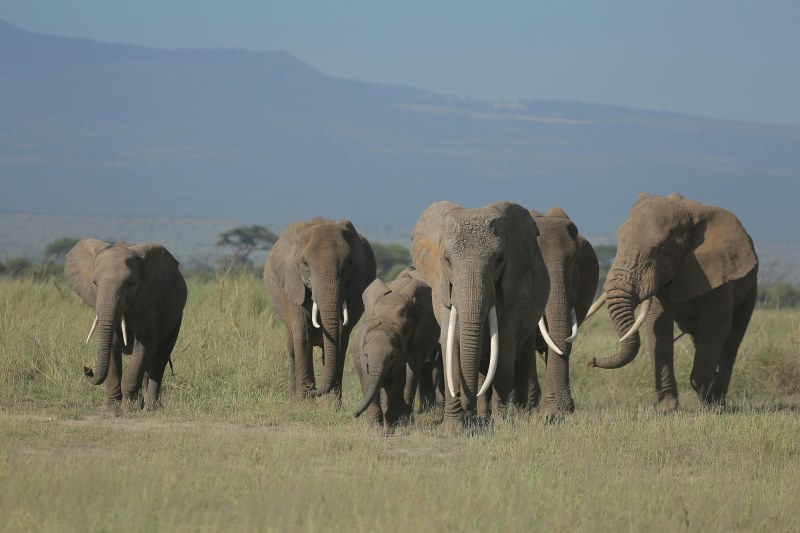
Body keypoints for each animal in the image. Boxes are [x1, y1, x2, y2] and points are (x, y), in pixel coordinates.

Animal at [64, 238, 187, 414]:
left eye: (130, 284)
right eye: (94, 283)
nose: (87, 368)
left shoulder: (147, 302)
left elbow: (143, 346)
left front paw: (128, 409)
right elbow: (112, 349)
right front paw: (113, 411)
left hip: (176, 317)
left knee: (159, 360)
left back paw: (150, 407)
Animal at [264, 217, 376, 401]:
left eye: (349, 263)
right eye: (305, 264)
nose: (315, 391)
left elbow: (340, 337)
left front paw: (329, 403)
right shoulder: (292, 283)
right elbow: (302, 333)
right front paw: (304, 400)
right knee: (292, 347)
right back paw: (293, 398)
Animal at [352, 267, 440, 434]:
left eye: (405, 330)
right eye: (375, 318)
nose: (354, 414)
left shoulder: (421, 333)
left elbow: (410, 369)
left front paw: (402, 421)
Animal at [411, 201, 549, 430]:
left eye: (500, 260)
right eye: (447, 260)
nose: (467, 410)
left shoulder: (514, 290)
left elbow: (504, 348)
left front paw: (502, 424)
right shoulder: (442, 289)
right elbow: (451, 345)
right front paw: (453, 429)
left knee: (522, 357)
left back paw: (518, 415)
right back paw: (483, 416)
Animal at [587, 193, 758, 412]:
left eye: (661, 249)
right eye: (619, 241)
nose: (591, 361)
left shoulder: (719, 272)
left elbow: (715, 327)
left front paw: (709, 400)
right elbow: (658, 325)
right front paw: (666, 409)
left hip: (750, 286)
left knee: (733, 336)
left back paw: (717, 400)